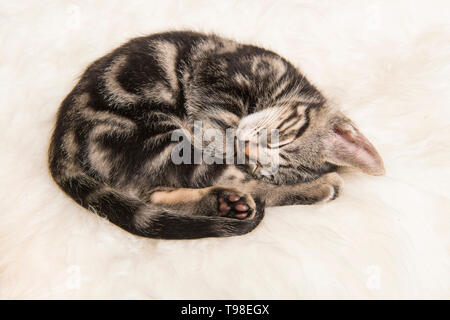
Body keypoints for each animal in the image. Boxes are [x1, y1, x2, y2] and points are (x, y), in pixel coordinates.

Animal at [48, 31, 384, 239]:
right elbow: (220, 127)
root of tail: (60, 144)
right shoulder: (219, 77)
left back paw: (227, 204)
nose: (246, 147)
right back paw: (320, 187)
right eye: (281, 137)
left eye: (268, 166)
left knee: (160, 192)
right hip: (159, 138)